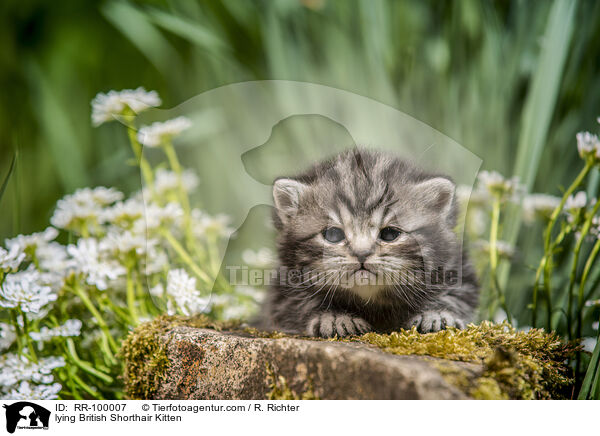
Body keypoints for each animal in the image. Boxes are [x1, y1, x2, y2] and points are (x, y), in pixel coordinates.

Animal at [262, 147, 478, 338]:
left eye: (390, 234)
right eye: (333, 234)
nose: (362, 253)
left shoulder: (456, 267)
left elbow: (459, 295)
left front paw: (437, 314)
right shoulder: (283, 287)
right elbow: (299, 303)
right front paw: (333, 317)